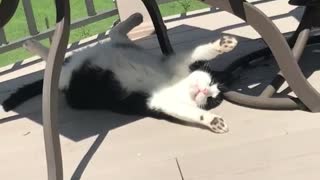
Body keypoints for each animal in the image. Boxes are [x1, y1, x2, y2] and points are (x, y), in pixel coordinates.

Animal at [1, 13, 236, 134]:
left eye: (212, 99)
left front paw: (213, 121)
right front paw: (223, 44)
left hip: (74, 74)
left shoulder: (159, 103)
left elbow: (191, 112)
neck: (178, 85)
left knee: (60, 64)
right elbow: (200, 51)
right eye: (211, 82)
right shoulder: (174, 62)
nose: (205, 91)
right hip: (101, 56)